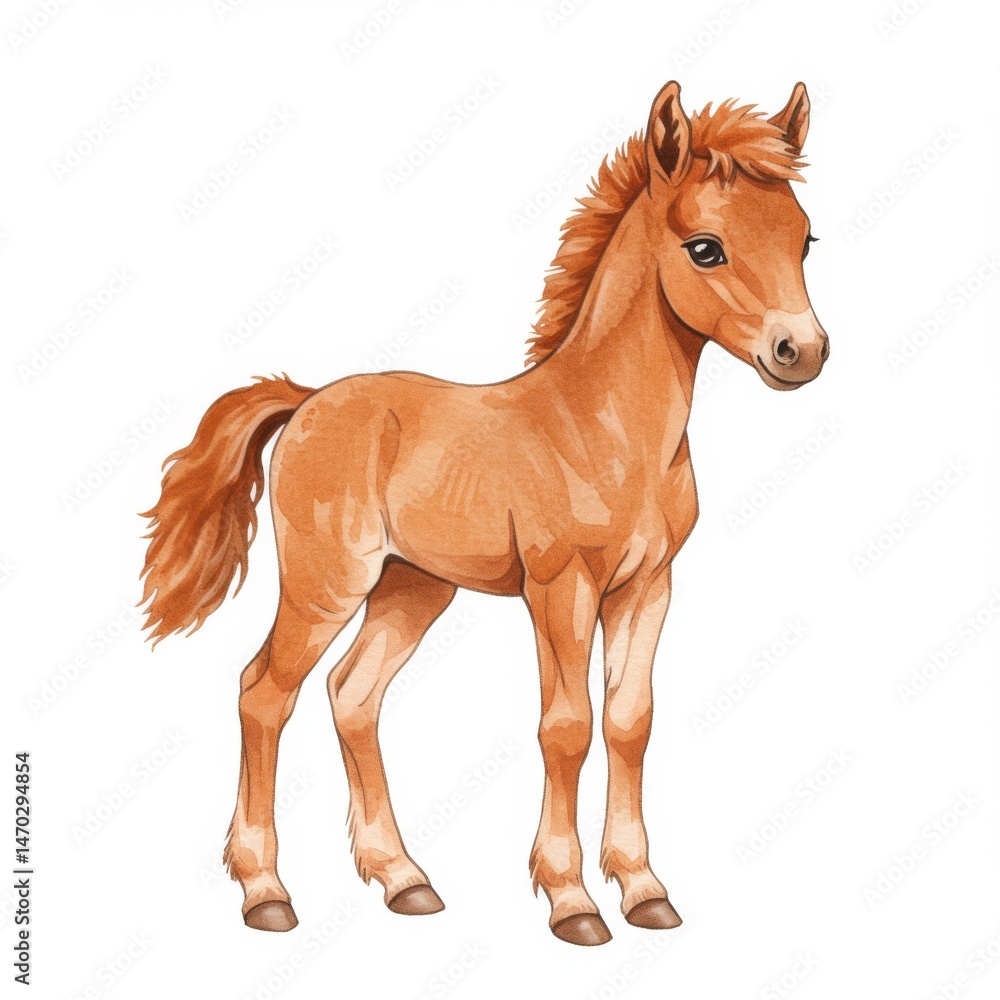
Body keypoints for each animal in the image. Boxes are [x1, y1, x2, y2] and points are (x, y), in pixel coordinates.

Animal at [140, 80, 828, 947]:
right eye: (706, 248)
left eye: (805, 240)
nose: (801, 352)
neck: (604, 426)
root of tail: (308, 400)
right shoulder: (559, 588)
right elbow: (566, 727)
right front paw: (571, 900)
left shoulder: (649, 587)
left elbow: (630, 721)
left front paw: (644, 890)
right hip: (326, 584)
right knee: (264, 692)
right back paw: (265, 892)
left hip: (412, 587)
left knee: (352, 696)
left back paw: (403, 880)